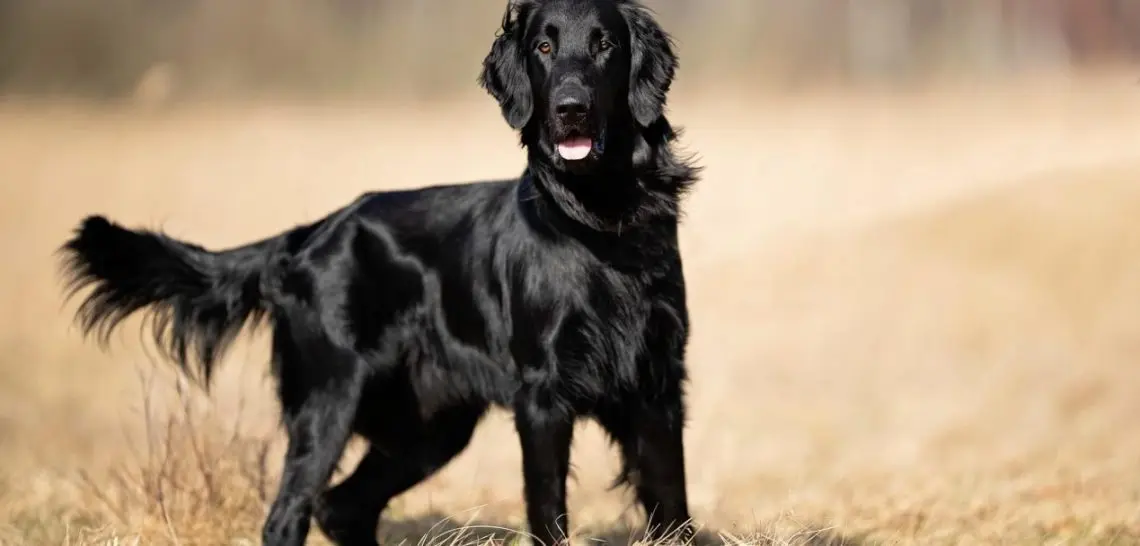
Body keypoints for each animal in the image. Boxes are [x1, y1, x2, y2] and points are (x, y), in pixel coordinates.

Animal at [60, 1, 702, 546]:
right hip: (330, 398)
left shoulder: (658, 386)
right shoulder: (544, 397)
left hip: (429, 425)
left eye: (604, 45)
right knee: (289, 514)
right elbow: (548, 512)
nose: (570, 108)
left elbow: (672, 505)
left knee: (342, 507)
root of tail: (309, 234)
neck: (601, 223)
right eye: (544, 47)